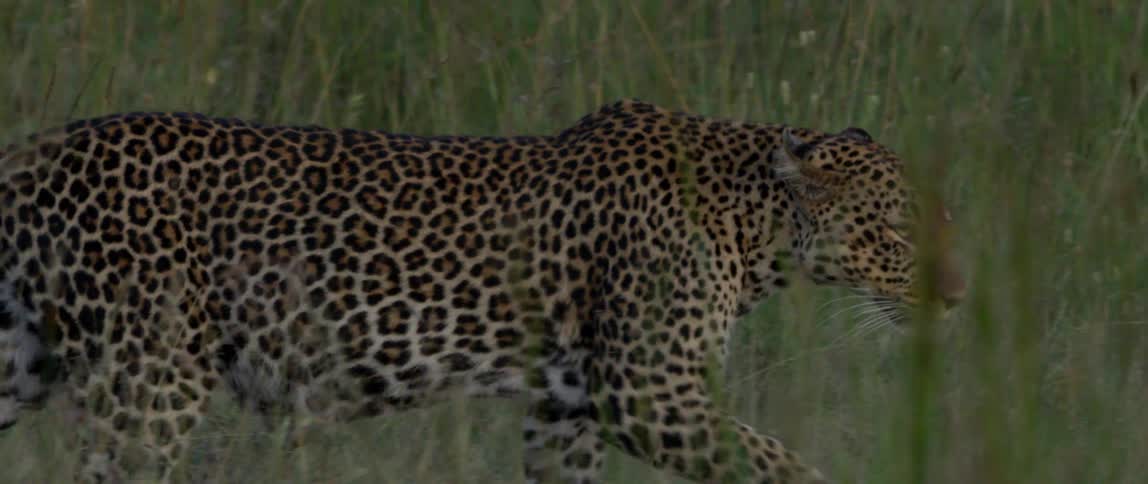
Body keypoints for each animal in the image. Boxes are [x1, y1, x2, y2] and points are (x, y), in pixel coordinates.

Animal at [0, 99, 965, 483]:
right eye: (895, 233)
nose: (958, 298)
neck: (750, 223)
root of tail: (43, 148)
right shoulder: (649, 393)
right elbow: (782, 463)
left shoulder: (567, 412)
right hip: (151, 384)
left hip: (23, 361)